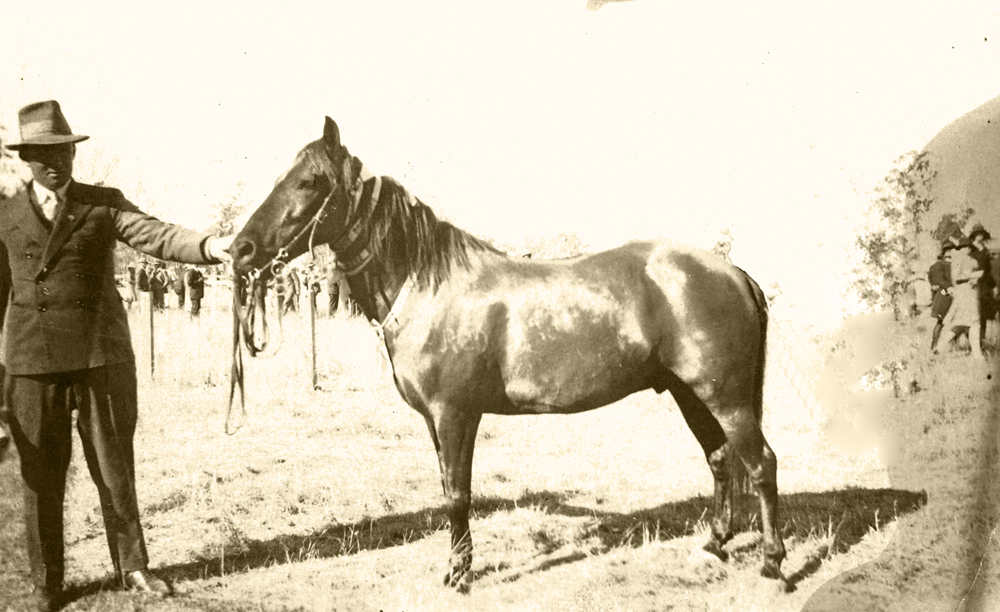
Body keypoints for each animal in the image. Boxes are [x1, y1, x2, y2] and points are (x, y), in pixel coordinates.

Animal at [229, 117, 787, 593]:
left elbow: (457, 494)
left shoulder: (455, 415)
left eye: (310, 182)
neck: (428, 285)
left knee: (761, 464)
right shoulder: (435, 421)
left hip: (726, 397)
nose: (241, 250)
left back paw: (773, 565)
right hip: (688, 392)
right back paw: (714, 546)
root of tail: (735, 273)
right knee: (721, 460)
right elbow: (446, 487)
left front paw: (459, 575)